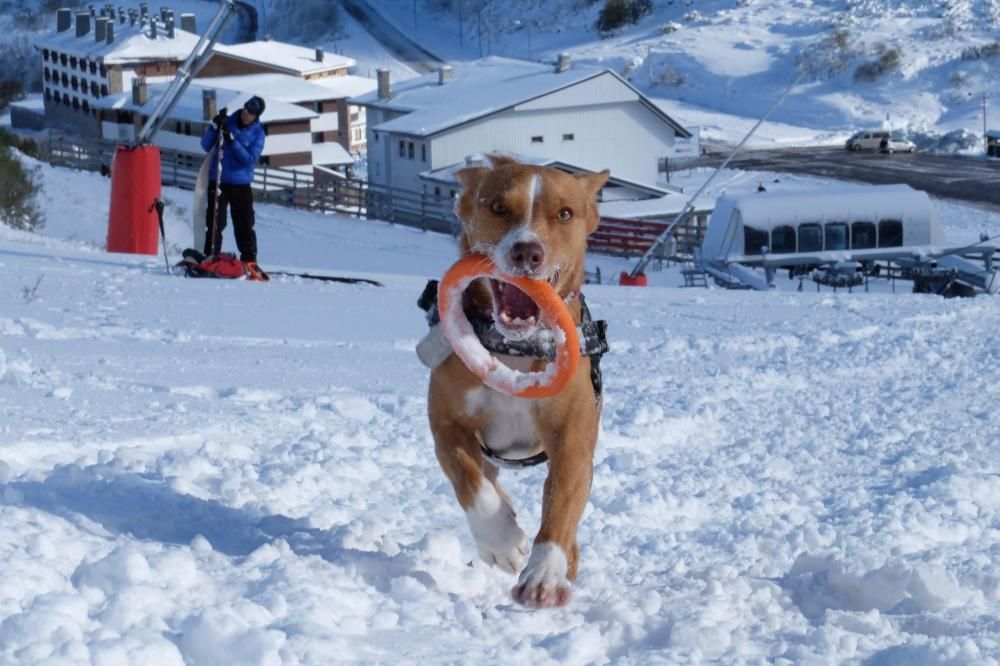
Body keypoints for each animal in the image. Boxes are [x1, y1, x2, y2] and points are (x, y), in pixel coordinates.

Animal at [424, 156, 604, 608]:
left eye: (565, 214)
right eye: (498, 207)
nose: (528, 251)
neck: (513, 351)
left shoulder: (572, 440)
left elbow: (560, 506)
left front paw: (544, 576)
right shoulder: (448, 426)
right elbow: (471, 483)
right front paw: (503, 543)